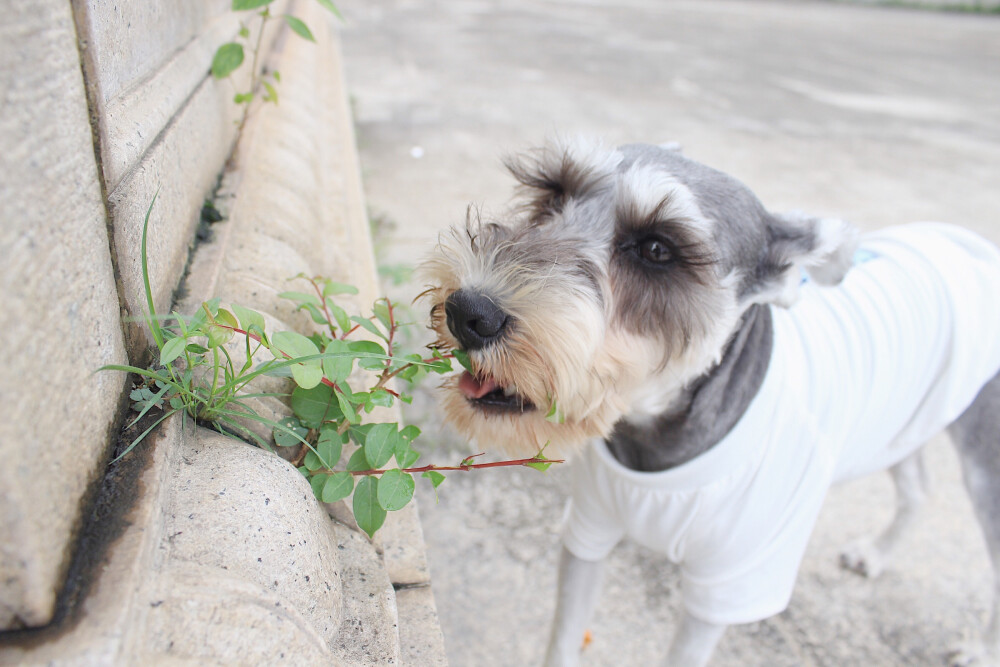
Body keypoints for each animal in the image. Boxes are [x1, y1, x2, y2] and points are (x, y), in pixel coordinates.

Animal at [416, 138, 1000, 664]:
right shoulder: (587, 534)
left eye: (657, 249)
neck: (652, 442)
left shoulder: (724, 591)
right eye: (552, 194)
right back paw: (874, 555)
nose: (468, 311)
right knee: (917, 487)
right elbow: (563, 637)